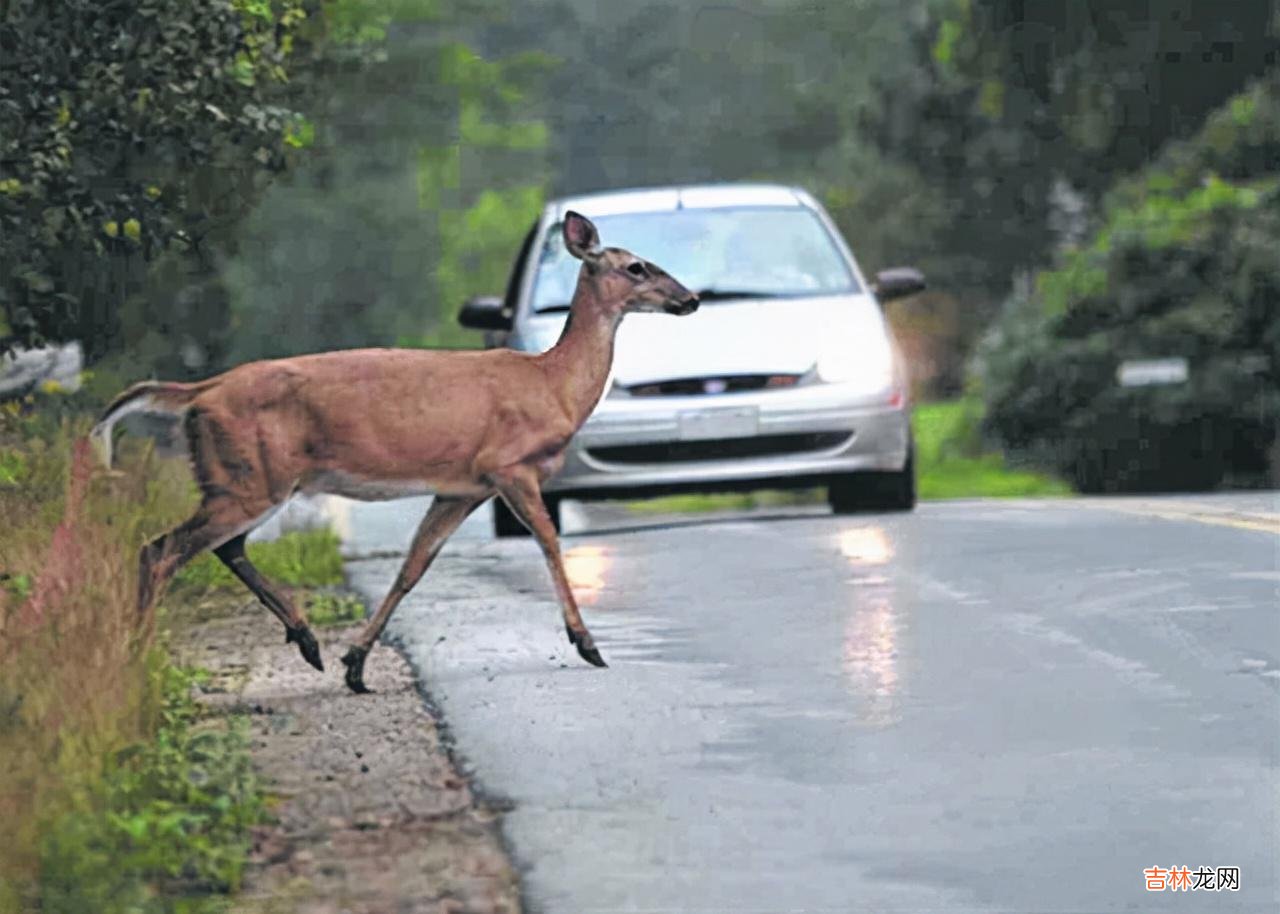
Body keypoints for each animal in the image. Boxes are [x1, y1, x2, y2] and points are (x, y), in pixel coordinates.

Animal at [92, 208, 701, 691]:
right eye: (637, 266)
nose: (691, 298)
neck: (553, 384)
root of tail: (200, 392)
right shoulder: (509, 465)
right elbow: (550, 541)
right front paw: (588, 645)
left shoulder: (461, 487)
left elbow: (414, 565)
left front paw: (356, 663)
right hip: (251, 477)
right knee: (160, 551)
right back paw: (135, 660)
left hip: (243, 479)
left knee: (222, 548)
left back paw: (306, 641)